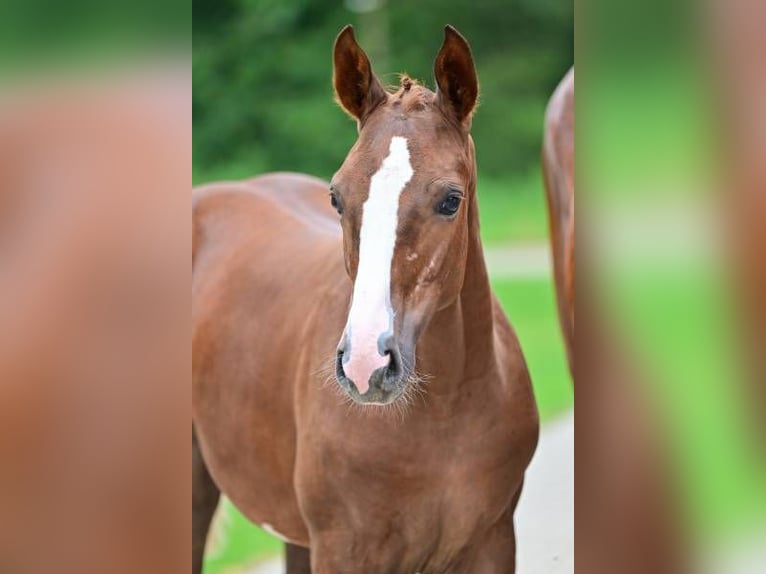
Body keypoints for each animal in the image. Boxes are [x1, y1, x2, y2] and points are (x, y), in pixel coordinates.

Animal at [192, 24, 540, 572]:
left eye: (451, 200)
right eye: (337, 197)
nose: (365, 365)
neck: (444, 416)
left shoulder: (492, 545)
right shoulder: (345, 550)